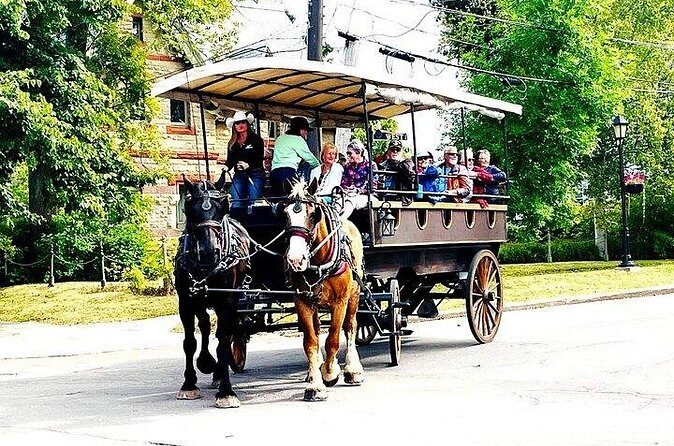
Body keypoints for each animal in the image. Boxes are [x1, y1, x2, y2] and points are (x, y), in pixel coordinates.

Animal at [174, 173, 251, 408]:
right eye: (190, 207)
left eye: (223, 206)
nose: (210, 250)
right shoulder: (185, 301)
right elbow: (190, 342)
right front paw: (189, 384)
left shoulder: (227, 300)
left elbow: (224, 340)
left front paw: (226, 391)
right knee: (206, 325)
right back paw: (209, 364)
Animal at [282, 179, 365, 401]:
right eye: (285, 214)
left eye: (313, 214)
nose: (295, 259)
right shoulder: (302, 301)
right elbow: (311, 342)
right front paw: (315, 385)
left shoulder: (340, 301)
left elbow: (333, 339)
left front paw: (330, 373)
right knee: (318, 329)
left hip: (354, 295)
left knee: (351, 326)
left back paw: (352, 369)